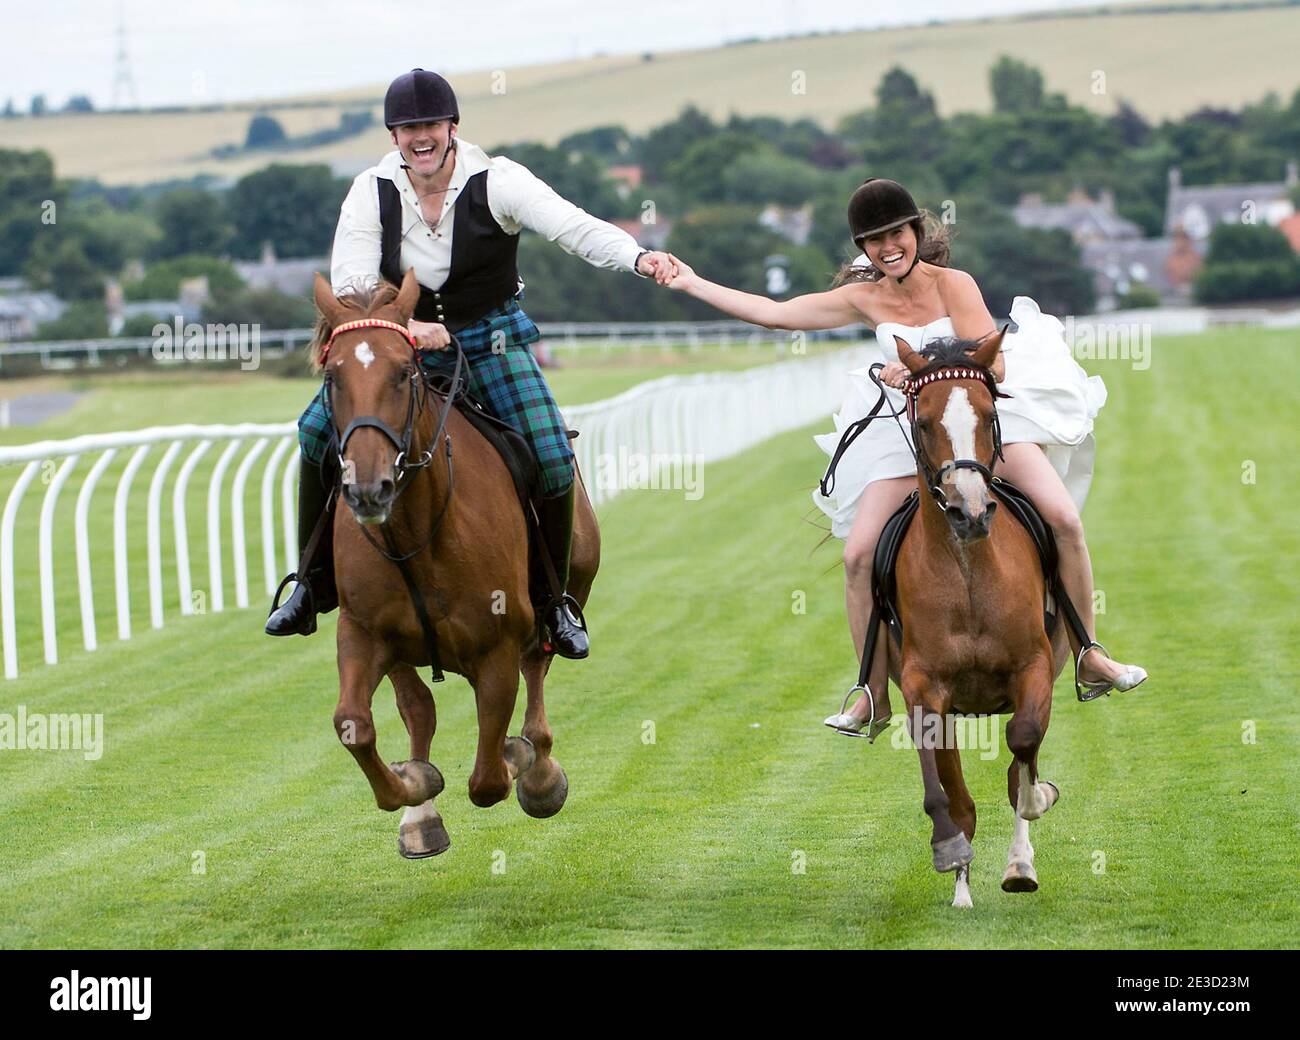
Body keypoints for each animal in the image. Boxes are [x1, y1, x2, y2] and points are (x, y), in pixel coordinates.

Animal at [312, 270, 600, 863]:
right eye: (333, 376)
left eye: (404, 372)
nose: (368, 487)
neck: (417, 531)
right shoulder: (364, 632)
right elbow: (358, 723)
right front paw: (414, 788)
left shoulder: (498, 646)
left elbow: (488, 777)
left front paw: (521, 761)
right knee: (418, 706)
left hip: (565, 589)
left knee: (538, 670)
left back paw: (539, 772)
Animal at [889, 332, 1071, 909]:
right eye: (924, 421)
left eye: (990, 414)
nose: (970, 512)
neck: (968, 571)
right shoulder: (923, 685)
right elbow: (941, 784)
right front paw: (949, 849)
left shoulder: (1034, 668)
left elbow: (1022, 743)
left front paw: (1036, 807)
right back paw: (963, 887)